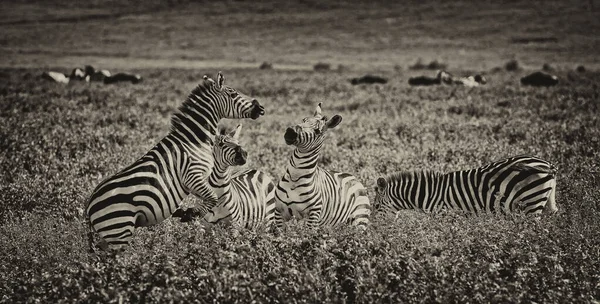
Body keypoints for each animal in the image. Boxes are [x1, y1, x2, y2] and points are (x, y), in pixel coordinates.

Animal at [85, 72, 264, 251]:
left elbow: (212, 197)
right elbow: (212, 197)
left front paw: (188, 213)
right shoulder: (192, 175)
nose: (260, 108)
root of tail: (89, 205)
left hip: (109, 236)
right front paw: (190, 214)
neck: (193, 140)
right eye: (233, 94)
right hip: (118, 230)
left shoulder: (197, 180)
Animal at [376, 154, 556, 216]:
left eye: (376, 206)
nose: (377, 230)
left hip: (531, 202)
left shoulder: (445, 214)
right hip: (544, 200)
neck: (430, 193)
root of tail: (548, 164)